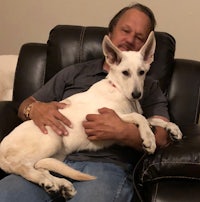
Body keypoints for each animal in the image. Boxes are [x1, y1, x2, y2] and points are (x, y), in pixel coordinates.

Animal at [0, 33, 182, 199]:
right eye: (125, 72)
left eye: (142, 72)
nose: (137, 94)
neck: (118, 90)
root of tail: (1, 149)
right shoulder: (106, 115)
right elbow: (140, 118)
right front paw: (149, 139)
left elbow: (154, 119)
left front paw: (173, 129)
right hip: (51, 139)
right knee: (22, 167)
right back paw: (49, 182)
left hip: (56, 153)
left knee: (40, 166)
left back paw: (59, 185)